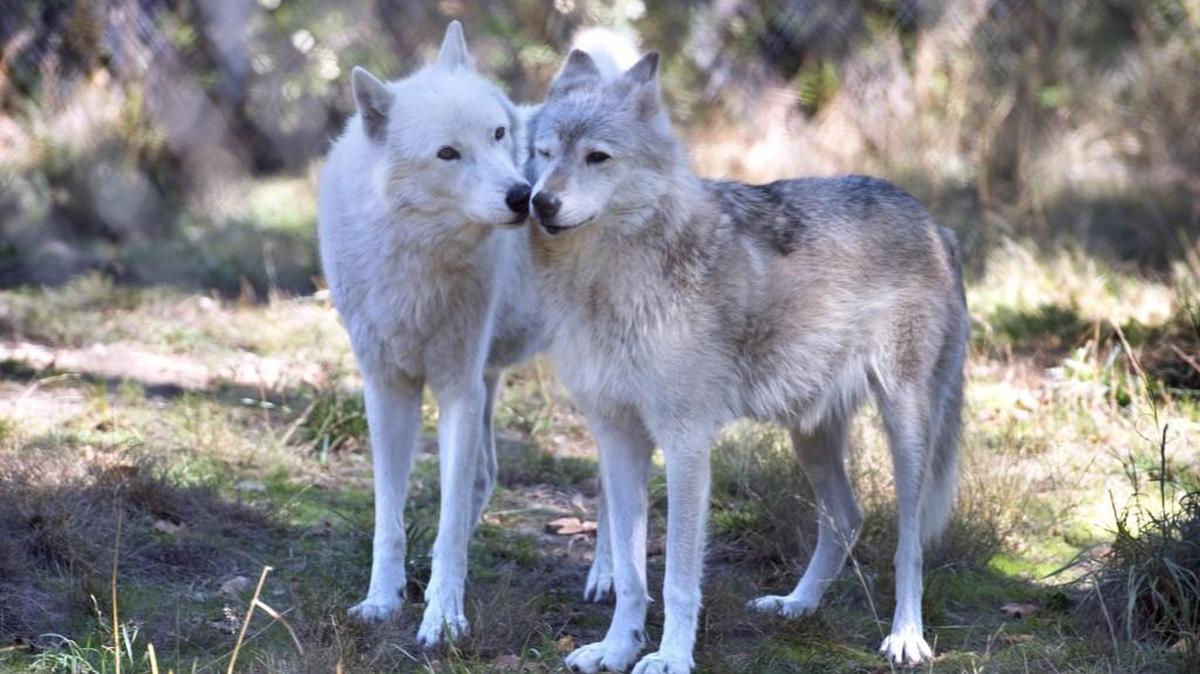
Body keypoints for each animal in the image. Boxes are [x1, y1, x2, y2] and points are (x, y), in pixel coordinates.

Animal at [316, 22, 615, 647]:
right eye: (448, 153)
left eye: (498, 133)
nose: (525, 196)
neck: (417, 258)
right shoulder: (388, 389)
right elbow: (390, 516)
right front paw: (382, 601)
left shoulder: (456, 389)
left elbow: (449, 521)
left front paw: (444, 618)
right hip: (490, 381)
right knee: (487, 476)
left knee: (612, 485)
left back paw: (605, 576)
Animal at [524, 49, 968, 672]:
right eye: (544, 154)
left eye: (597, 157)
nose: (539, 201)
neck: (607, 285)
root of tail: (936, 224)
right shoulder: (617, 438)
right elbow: (632, 573)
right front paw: (615, 649)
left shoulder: (685, 444)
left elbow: (677, 578)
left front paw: (670, 657)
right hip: (810, 434)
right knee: (847, 517)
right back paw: (796, 606)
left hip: (905, 431)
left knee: (909, 547)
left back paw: (906, 637)